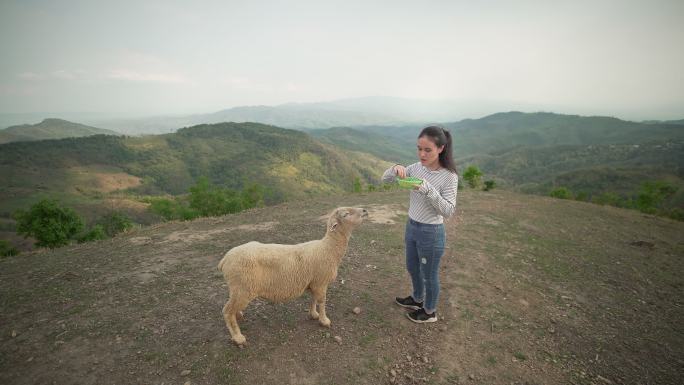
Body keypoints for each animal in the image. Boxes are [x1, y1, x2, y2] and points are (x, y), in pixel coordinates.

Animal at [219, 206, 368, 344]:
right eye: (346, 214)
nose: (365, 210)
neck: (328, 248)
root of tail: (225, 259)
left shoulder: (314, 282)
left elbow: (313, 299)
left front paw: (313, 314)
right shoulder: (321, 282)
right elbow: (322, 301)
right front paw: (324, 320)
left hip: (238, 289)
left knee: (232, 307)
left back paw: (239, 315)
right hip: (243, 288)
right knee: (227, 311)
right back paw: (238, 337)